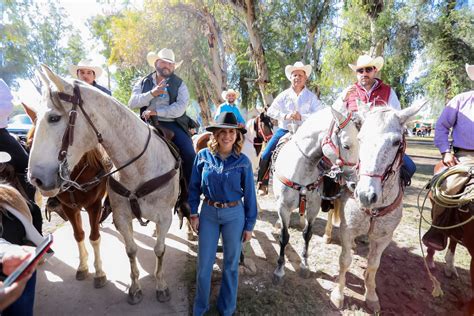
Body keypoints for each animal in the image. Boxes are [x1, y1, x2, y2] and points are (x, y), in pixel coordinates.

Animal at [26, 105, 111, 288]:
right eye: (29, 144)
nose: (38, 180)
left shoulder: (94, 205)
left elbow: (94, 237)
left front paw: (99, 272)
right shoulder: (69, 208)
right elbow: (79, 235)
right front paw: (83, 266)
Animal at [270, 107, 360, 282]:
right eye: (346, 146)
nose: (355, 183)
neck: (300, 169)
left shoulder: (313, 208)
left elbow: (307, 234)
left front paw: (305, 265)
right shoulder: (283, 208)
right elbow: (284, 236)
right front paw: (279, 269)